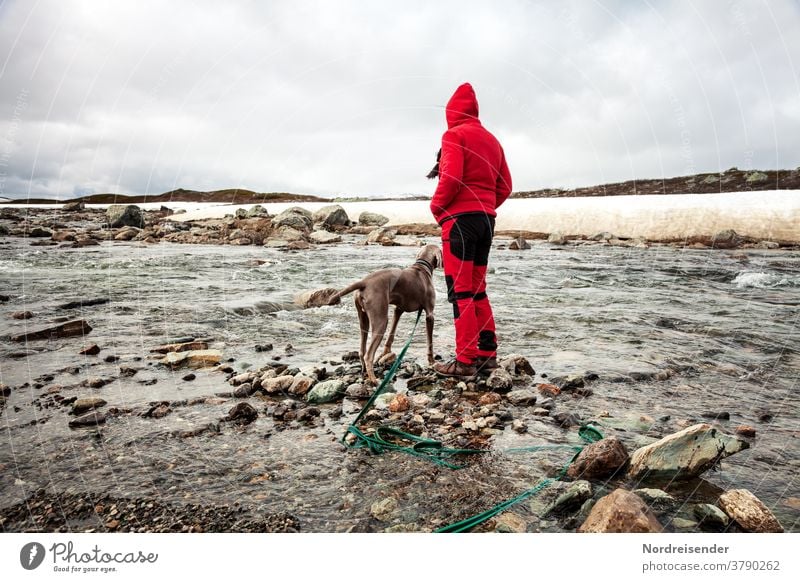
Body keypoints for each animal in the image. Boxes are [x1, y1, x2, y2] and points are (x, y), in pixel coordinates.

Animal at [332, 244, 444, 386]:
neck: (422, 267)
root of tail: (364, 282)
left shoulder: (398, 309)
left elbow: (392, 333)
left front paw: (385, 353)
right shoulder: (430, 314)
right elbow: (430, 342)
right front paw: (432, 361)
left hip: (363, 318)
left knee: (362, 350)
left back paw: (364, 372)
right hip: (381, 320)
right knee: (369, 355)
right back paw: (374, 379)